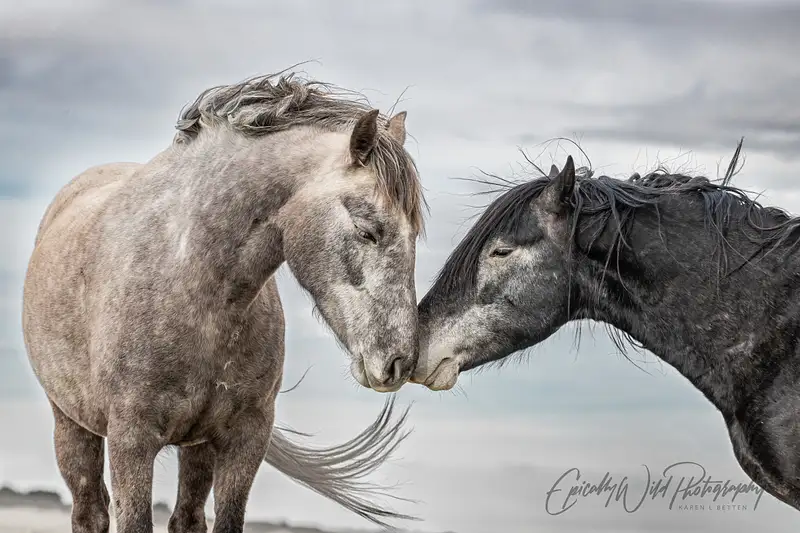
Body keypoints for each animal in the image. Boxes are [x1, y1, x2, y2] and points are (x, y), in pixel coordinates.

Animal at [21, 71, 426, 533]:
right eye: (367, 230)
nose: (400, 362)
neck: (193, 286)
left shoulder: (244, 440)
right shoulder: (131, 440)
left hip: (197, 447)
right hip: (71, 425)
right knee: (89, 512)